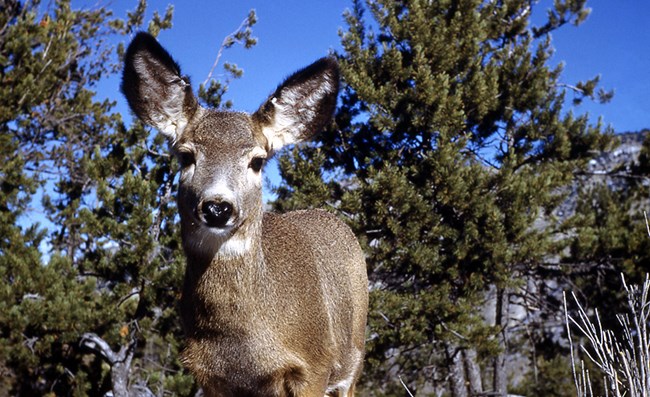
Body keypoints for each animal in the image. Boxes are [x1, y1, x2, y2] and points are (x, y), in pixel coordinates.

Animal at [120, 32, 364, 394]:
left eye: (258, 161)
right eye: (186, 155)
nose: (217, 207)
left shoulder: (314, 366)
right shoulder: (210, 376)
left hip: (352, 361)